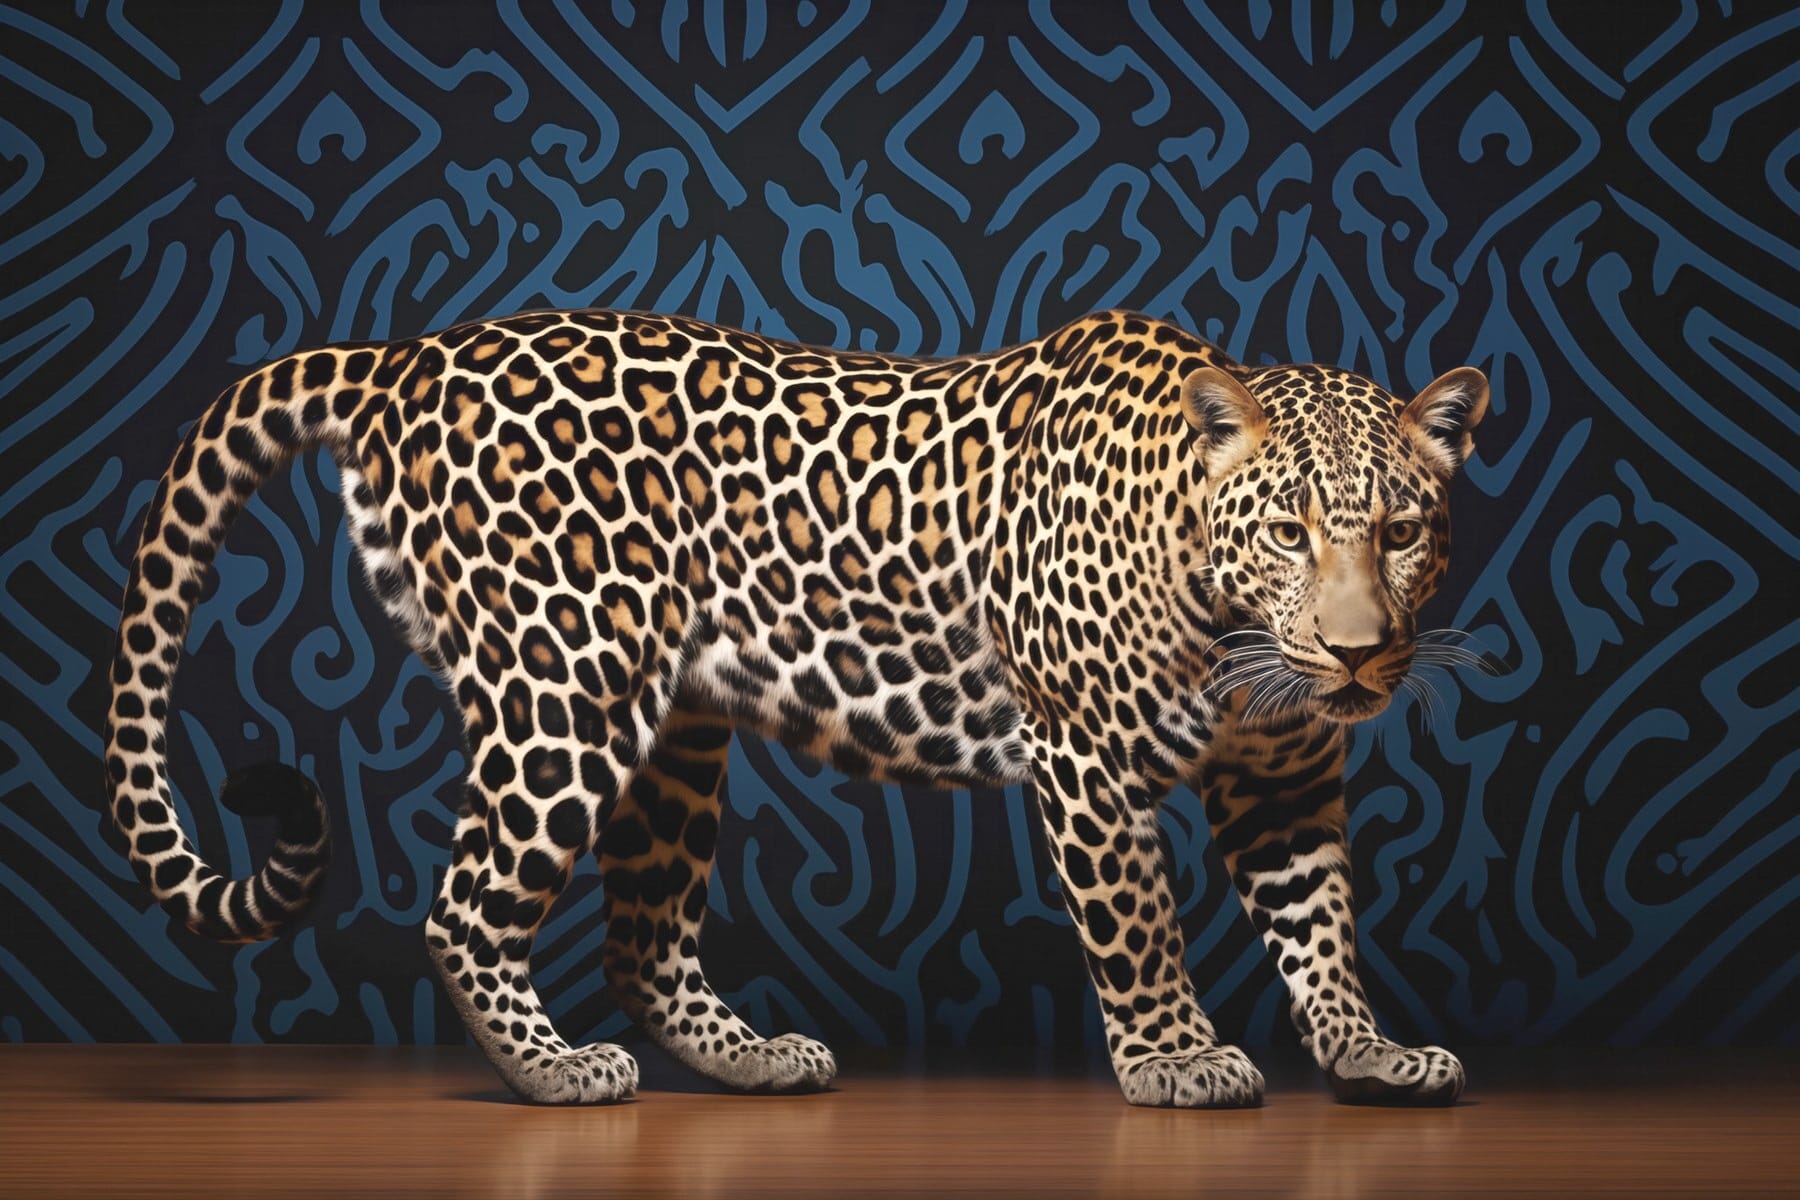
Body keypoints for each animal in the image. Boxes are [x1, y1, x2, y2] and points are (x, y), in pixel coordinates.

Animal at [103, 307, 1487, 1108]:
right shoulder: (1082, 753)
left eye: (1403, 531)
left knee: (643, 936)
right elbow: (1137, 923)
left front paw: (1367, 1053)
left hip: (674, 726)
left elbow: (1319, 921)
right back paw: (555, 1072)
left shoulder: (1284, 774)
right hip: (565, 685)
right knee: (463, 906)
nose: (1358, 655)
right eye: (1291, 531)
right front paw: (1178, 1059)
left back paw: (752, 1058)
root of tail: (404, 355)